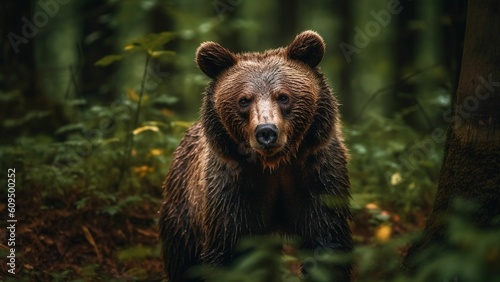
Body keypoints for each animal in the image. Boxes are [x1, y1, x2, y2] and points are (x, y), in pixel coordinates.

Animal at [159, 29, 352, 280]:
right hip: (184, 212)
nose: (266, 132)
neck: (274, 164)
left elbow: (327, 241)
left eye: (283, 96)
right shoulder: (232, 189)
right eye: (244, 100)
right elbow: (231, 251)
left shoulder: (318, 173)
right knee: (183, 261)